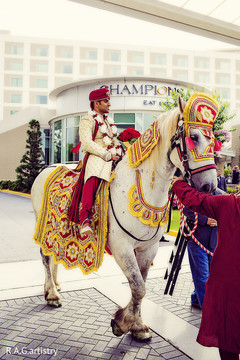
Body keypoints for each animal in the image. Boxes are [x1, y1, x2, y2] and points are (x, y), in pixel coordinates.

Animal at [31, 97, 217, 342]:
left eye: (213, 139)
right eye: (193, 137)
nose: (210, 186)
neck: (140, 187)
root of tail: (46, 169)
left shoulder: (148, 248)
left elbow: (141, 284)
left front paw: (136, 325)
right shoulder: (122, 247)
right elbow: (138, 286)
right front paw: (124, 323)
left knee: (51, 255)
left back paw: (55, 286)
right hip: (43, 224)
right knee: (45, 256)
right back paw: (52, 294)